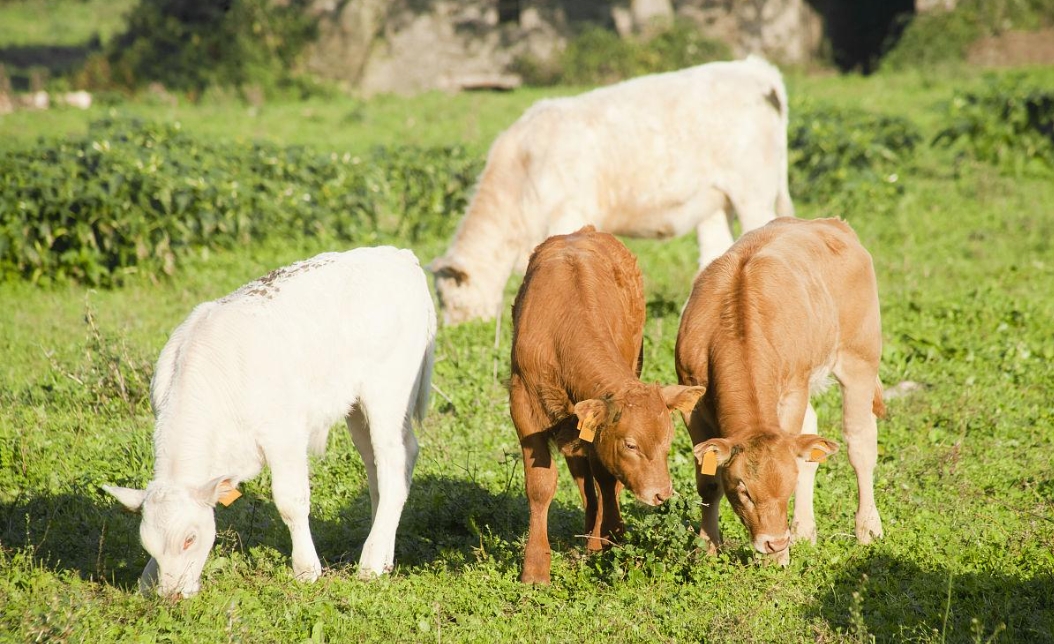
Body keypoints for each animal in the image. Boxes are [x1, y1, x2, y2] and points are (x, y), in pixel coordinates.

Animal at [102, 247, 436, 598]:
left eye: (189, 539)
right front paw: (147, 579)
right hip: (357, 406)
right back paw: (384, 551)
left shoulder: (284, 434)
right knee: (377, 465)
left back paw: (371, 562)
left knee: (393, 464)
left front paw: (306, 569)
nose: (172, 595)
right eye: (148, 544)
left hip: (388, 392)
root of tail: (398, 255)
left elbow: (290, 500)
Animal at [427, 55, 792, 324]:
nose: (458, 331)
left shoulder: (568, 213)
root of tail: (752, 67)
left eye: (448, 299)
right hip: (714, 201)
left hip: (753, 193)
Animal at [508, 226, 704, 586]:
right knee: (583, 477)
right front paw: (535, 568)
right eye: (630, 444)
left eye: (668, 444)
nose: (661, 493)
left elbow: (607, 479)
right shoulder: (524, 409)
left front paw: (614, 539)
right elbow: (541, 486)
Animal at [674, 217, 881, 564]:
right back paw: (804, 531)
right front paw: (708, 547)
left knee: (860, 443)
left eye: (787, 485)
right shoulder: (692, 402)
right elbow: (708, 483)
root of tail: (830, 223)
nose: (774, 542)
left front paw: (778, 560)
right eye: (743, 490)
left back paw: (868, 529)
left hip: (860, 357)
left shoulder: (792, 393)